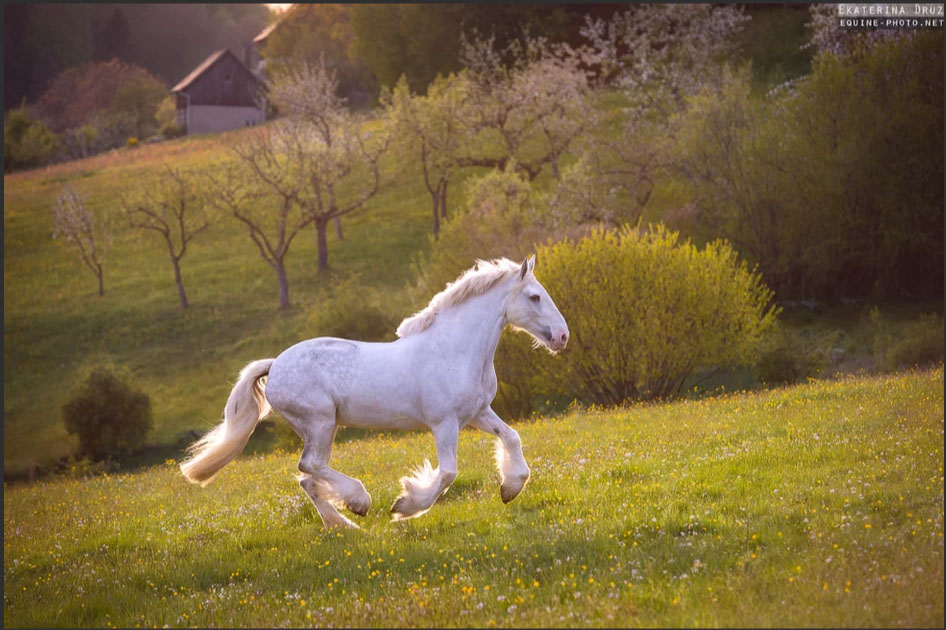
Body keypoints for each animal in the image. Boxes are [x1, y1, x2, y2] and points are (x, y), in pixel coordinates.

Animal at [180, 256, 564, 528]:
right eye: (534, 296)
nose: (562, 337)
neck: (455, 349)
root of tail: (274, 366)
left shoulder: (478, 413)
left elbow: (511, 437)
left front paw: (510, 489)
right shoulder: (444, 423)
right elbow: (448, 473)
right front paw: (405, 506)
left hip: (326, 428)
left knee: (308, 479)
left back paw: (344, 525)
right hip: (319, 423)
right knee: (309, 466)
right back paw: (359, 502)